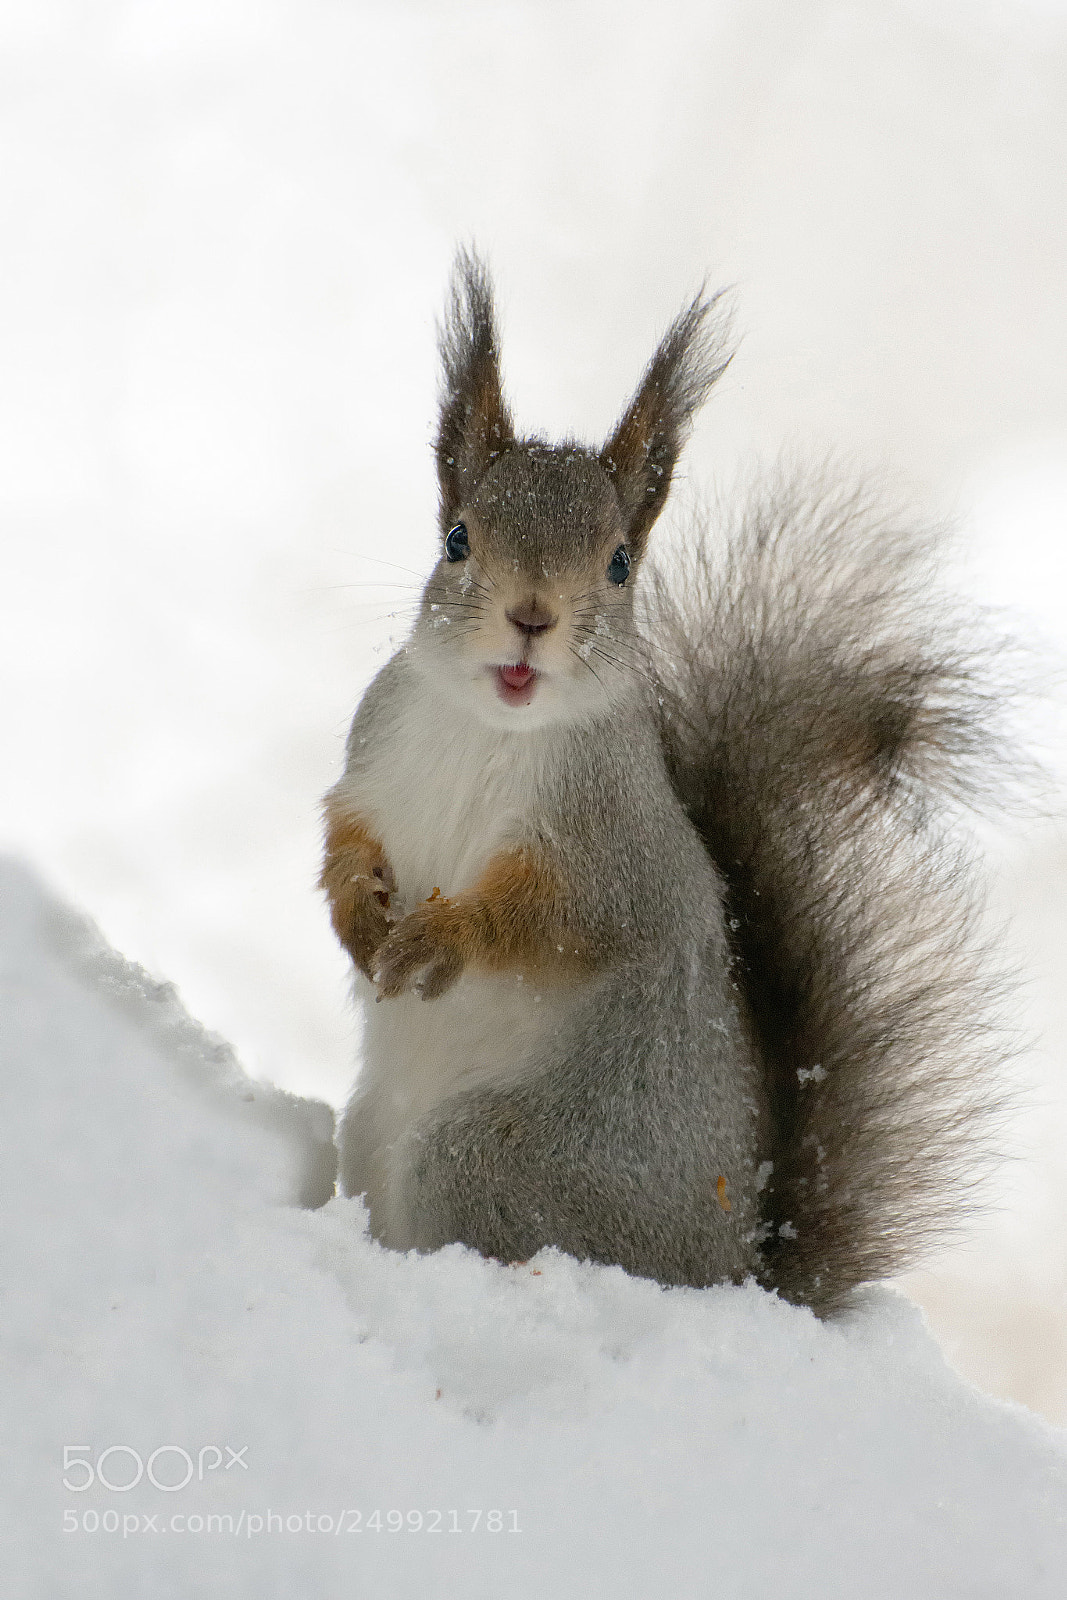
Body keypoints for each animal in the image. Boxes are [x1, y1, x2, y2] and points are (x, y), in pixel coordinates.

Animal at [319, 249, 1007, 1316]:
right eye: (459, 540)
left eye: (616, 564)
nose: (531, 618)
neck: (490, 728)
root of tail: (733, 1276)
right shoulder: (371, 763)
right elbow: (343, 843)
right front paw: (361, 919)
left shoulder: (613, 843)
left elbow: (562, 918)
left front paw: (442, 936)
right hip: (371, 1137)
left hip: (484, 1161)